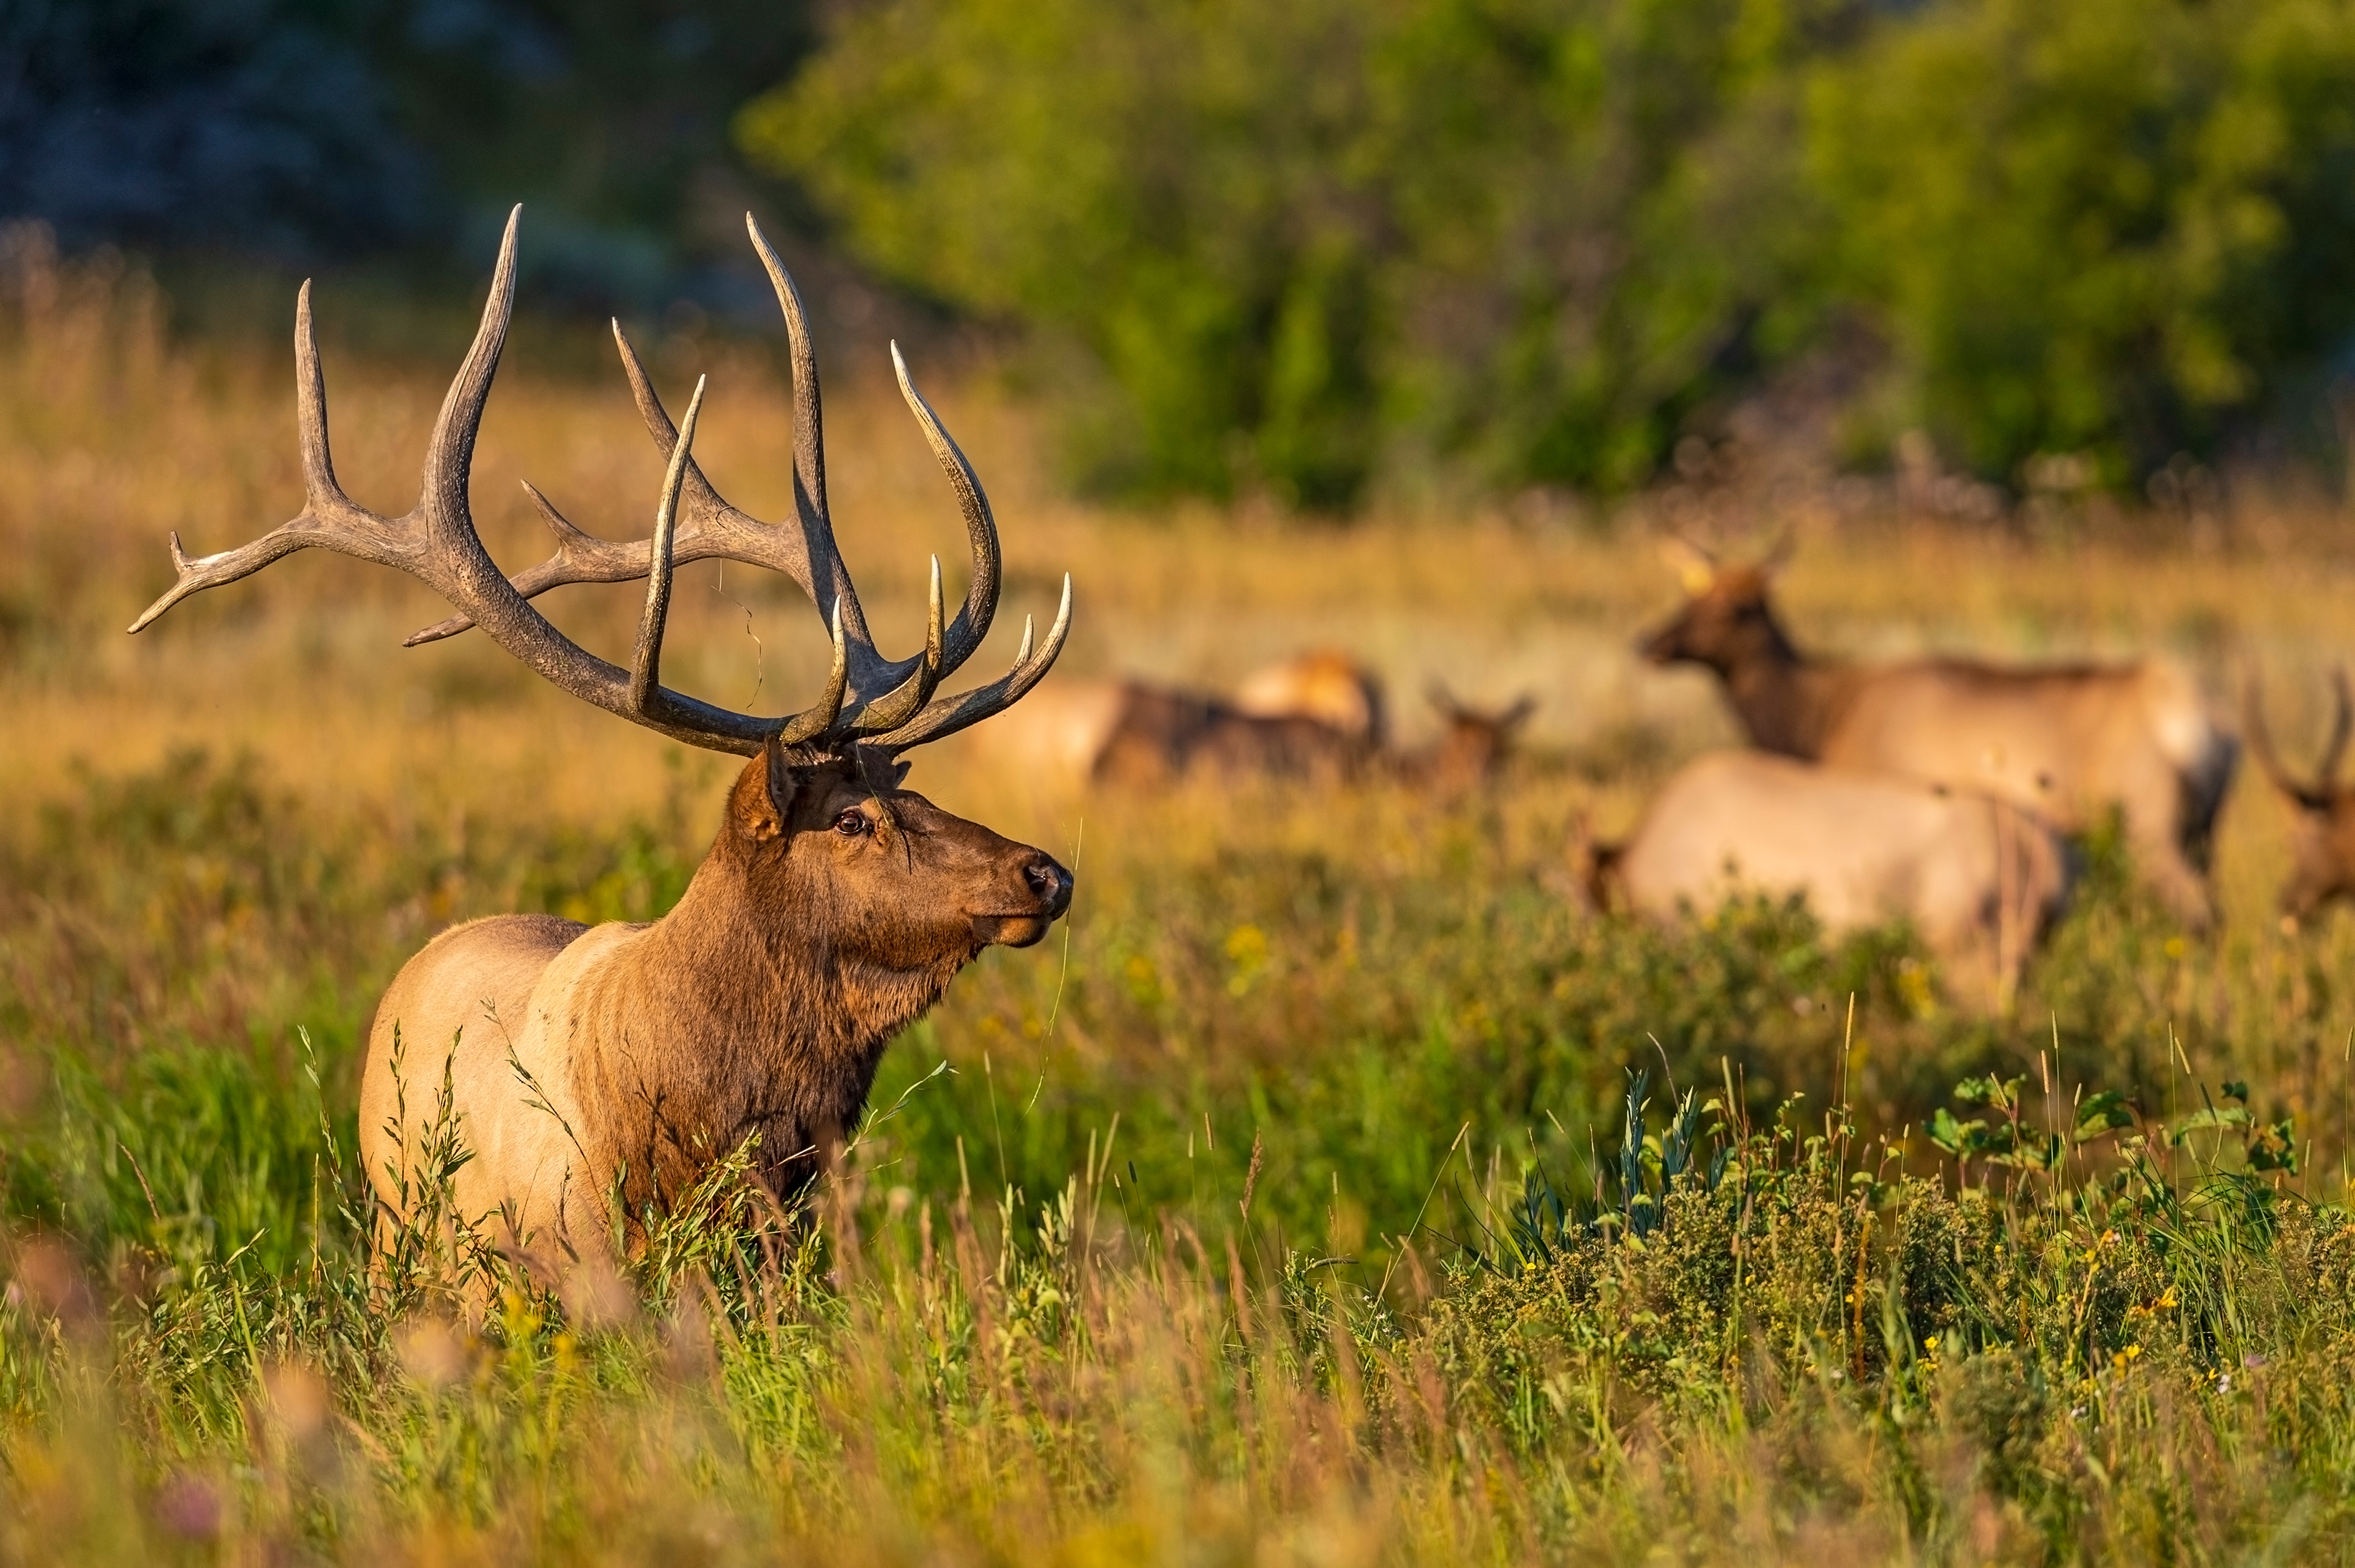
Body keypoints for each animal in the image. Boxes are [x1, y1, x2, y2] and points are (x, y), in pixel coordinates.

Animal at [1648, 536, 2232, 927]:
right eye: (1690, 596)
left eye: (1736, 607)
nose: (1651, 642)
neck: (1818, 718)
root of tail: (2207, 726)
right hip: (2204, 833)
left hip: (2151, 828)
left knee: (2200, 917)